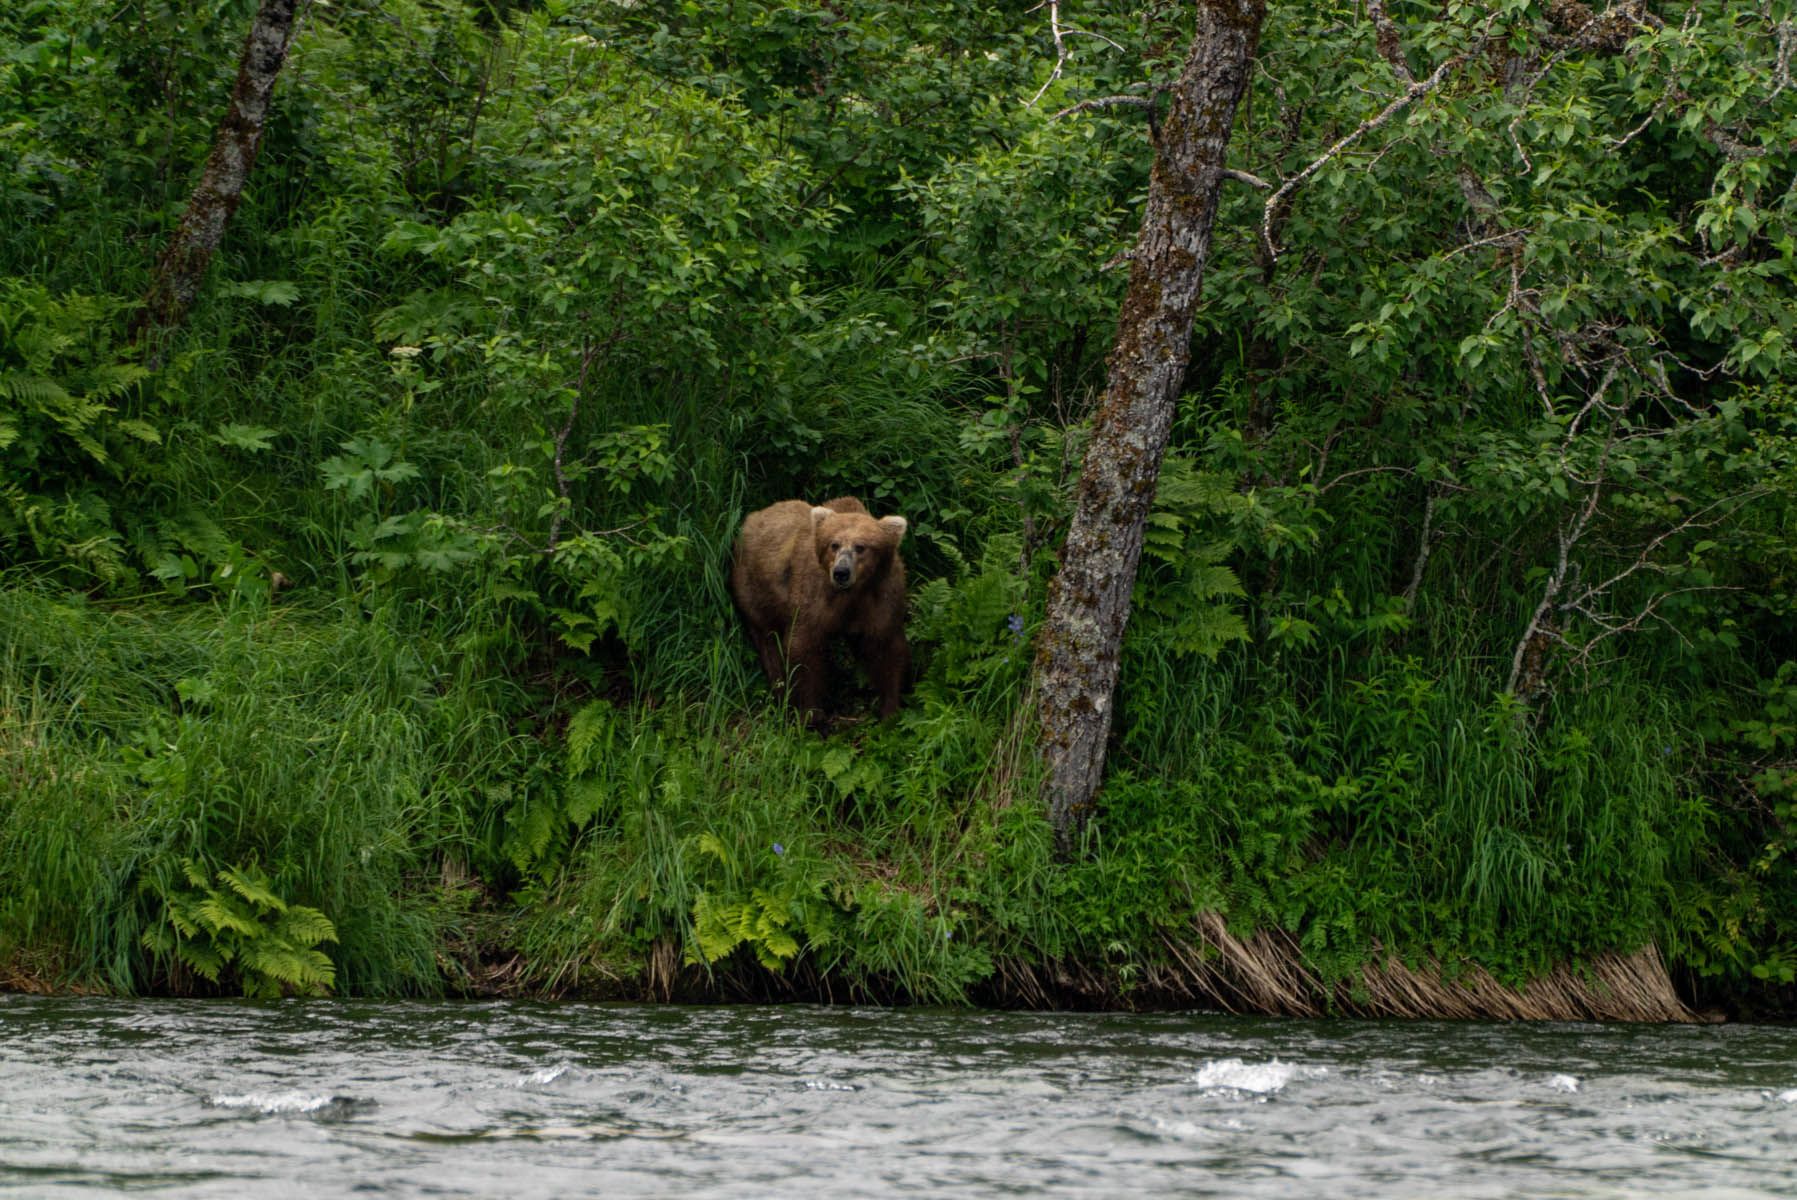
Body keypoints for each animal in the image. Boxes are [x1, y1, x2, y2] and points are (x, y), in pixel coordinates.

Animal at [722, 495, 905, 722]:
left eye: (861, 546)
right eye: (834, 544)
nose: (841, 572)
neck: (852, 595)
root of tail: (752, 518)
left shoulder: (881, 600)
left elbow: (886, 649)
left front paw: (890, 709)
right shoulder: (813, 600)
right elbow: (804, 651)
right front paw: (812, 714)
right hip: (753, 590)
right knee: (768, 641)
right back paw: (782, 694)